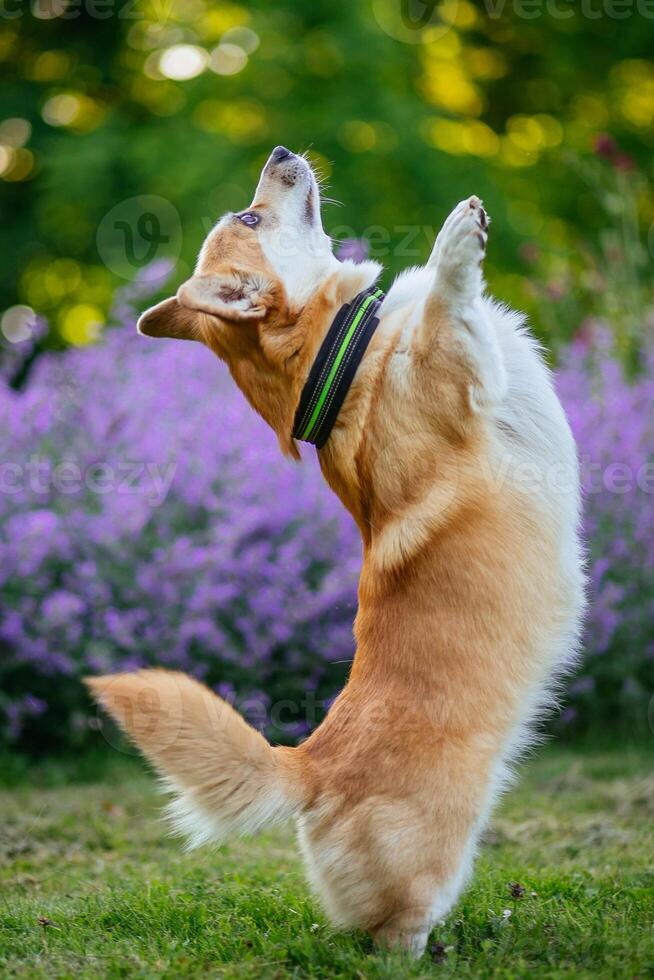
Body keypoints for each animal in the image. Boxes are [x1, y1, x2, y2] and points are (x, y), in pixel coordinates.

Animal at [86, 145, 584, 956]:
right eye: (249, 216)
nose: (281, 152)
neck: (336, 359)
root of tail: (308, 768)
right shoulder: (457, 365)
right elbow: (446, 299)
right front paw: (457, 238)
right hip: (432, 857)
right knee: (391, 929)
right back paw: (430, 953)